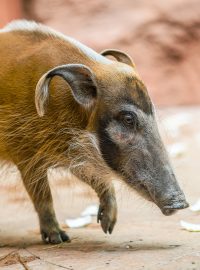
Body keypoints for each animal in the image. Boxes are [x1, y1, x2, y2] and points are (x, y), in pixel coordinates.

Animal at [0, 20, 188, 245]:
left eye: (153, 111)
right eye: (128, 119)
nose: (181, 204)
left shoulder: (73, 152)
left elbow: (93, 176)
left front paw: (108, 227)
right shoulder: (25, 154)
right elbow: (42, 195)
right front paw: (59, 238)